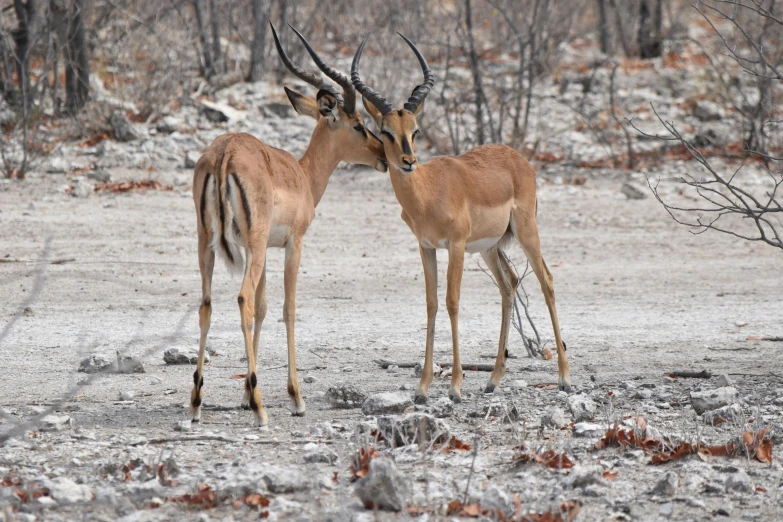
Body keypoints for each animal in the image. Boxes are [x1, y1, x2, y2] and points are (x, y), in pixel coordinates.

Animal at [190, 24, 386, 424]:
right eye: (359, 125)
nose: (385, 158)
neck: (302, 175)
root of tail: (223, 155)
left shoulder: (263, 248)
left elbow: (265, 308)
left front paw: (245, 392)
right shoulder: (293, 244)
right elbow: (288, 309)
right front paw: (295, 397)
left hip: (209, 244)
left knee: (207, 304)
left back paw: (197, 403)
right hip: (250, 245)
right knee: (242, 299)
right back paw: (261, 410)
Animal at [352, 34, 572, 400]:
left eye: (415, 130)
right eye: (385, 131)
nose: (408, 161)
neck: (427, 193)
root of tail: (518, 158)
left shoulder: (454, 245)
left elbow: (452, 301)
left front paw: (454, 385)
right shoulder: (426, 247)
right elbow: (431, 304)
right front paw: (423, 387)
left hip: (526, 232)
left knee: (547, 280)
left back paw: (565, 378)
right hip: (489, 247)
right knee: (510, 284)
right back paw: (493, 379)